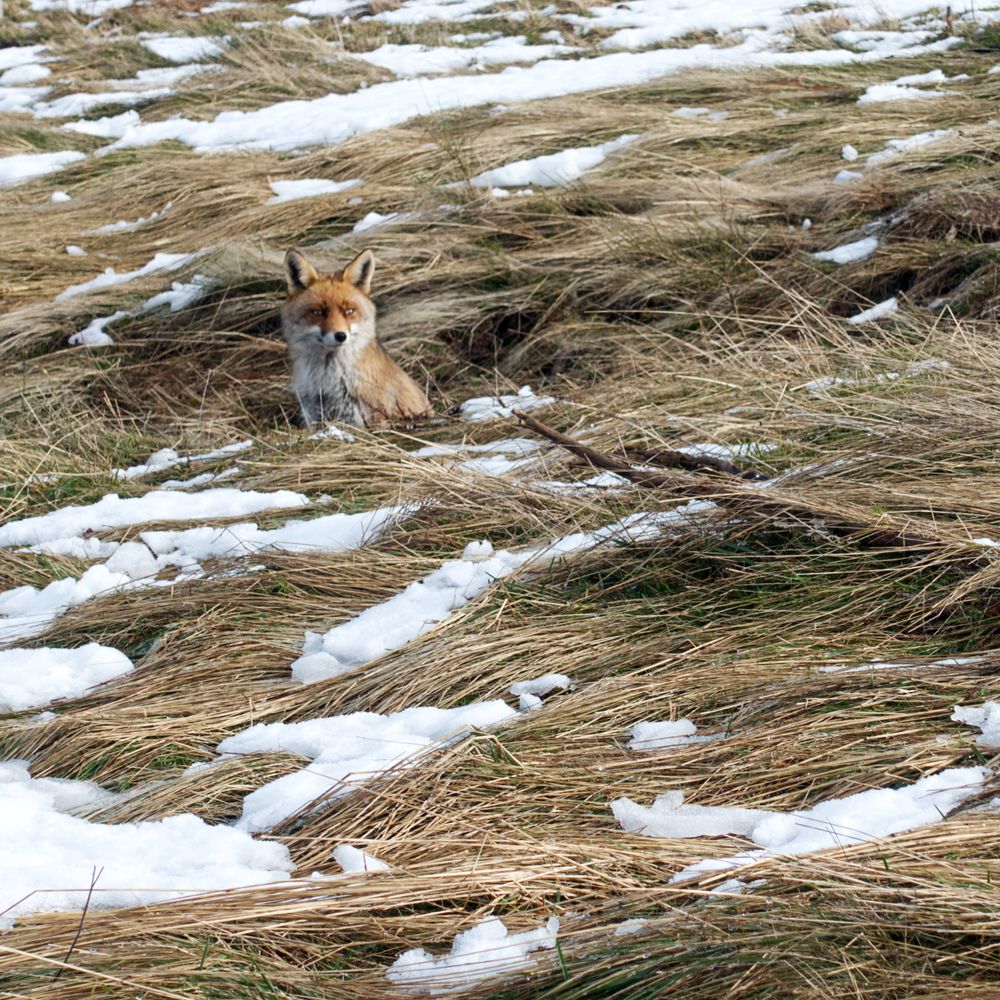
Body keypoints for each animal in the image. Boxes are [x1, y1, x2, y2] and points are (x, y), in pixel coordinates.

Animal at [281, 247, 432, 428]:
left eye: (349, 311)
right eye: (318, 312)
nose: (340, 336)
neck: (326, 385)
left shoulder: (363, 418)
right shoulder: (313, 416)